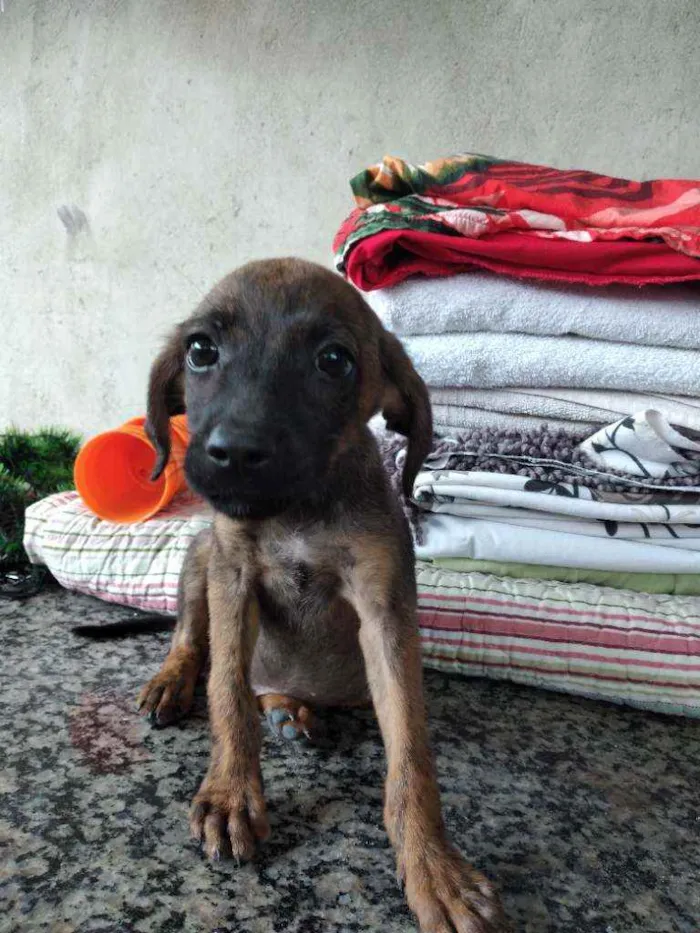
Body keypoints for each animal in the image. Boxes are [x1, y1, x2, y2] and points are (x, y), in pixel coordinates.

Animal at [138, 256, 508, 932]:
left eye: (334, 360)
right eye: (201, 350)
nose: (233, 453)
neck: (298, 512)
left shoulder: (383, 610)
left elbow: (410, 749)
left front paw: (433, 865)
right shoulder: (232, 576)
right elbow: (225, 688)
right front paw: (231, 792)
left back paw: (290, 707)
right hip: (200, 552)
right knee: (191, 642)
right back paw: (176, 682)